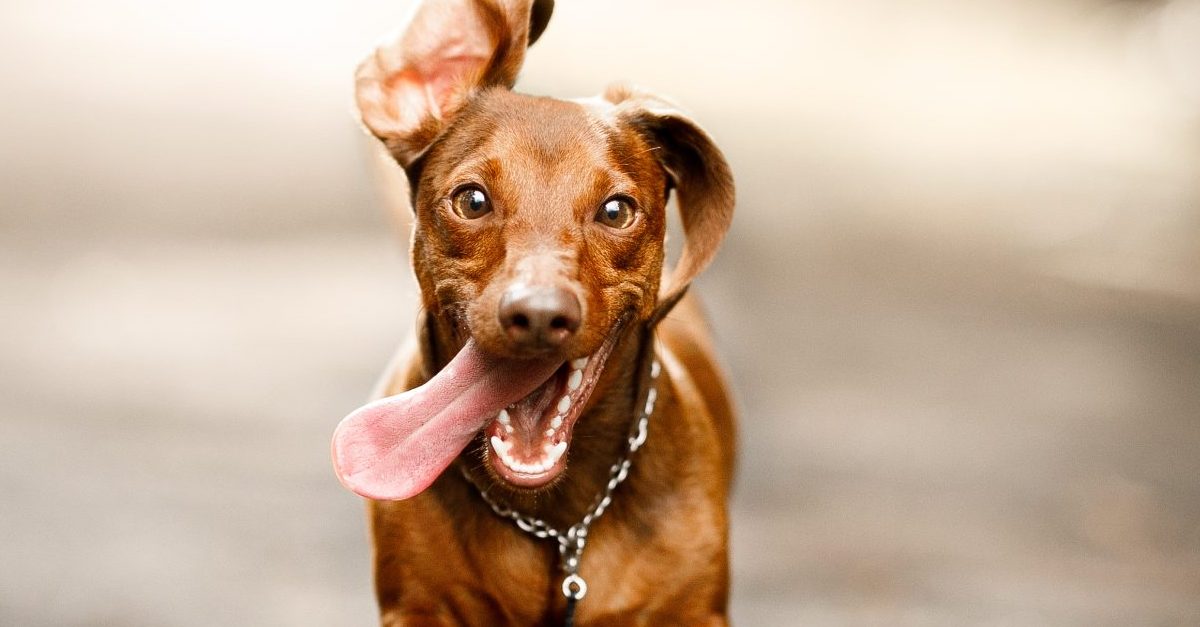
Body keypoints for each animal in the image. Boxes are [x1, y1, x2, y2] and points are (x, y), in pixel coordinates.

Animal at [333, 2, 734, 619]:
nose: (540, 315)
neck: (558, 521)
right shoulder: (418, 606)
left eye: (616, 210)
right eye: (472, 199)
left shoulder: (693, 610)